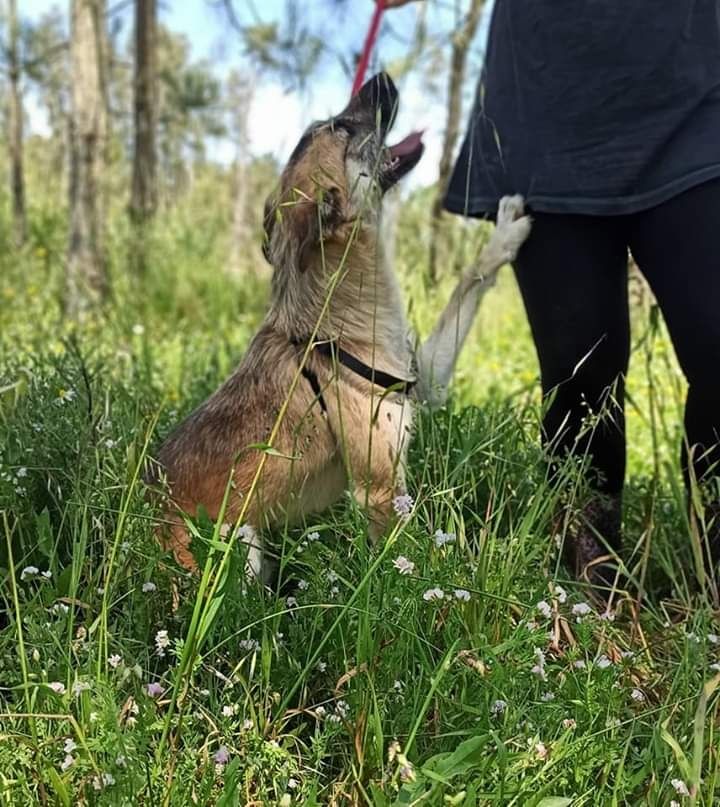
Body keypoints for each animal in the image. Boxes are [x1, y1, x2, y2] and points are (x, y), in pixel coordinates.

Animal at [150, 72, 528, 576]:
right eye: (341, 128)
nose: (381, 76)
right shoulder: (382, 491)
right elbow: (422, 568)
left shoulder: (428, 378)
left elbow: (469, 282)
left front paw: (505, 234)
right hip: (238, 541)